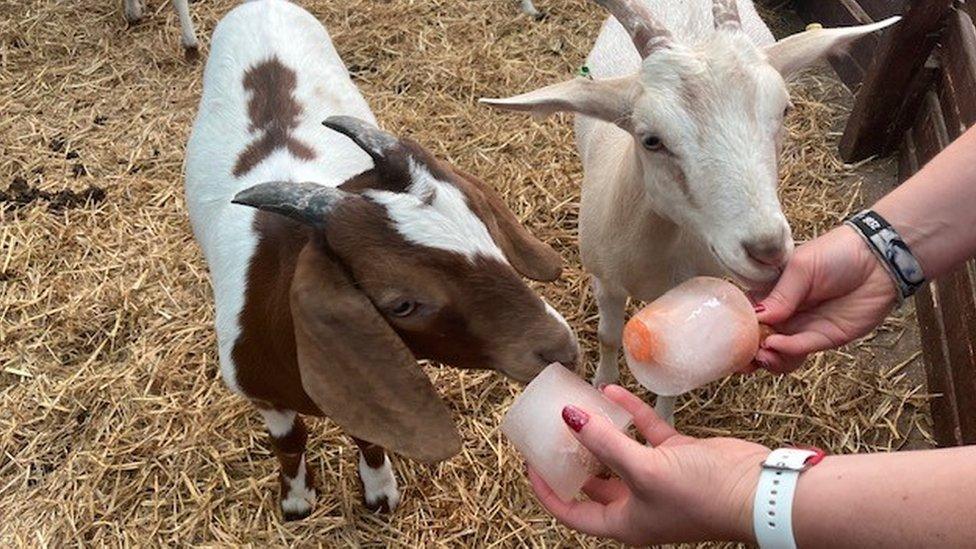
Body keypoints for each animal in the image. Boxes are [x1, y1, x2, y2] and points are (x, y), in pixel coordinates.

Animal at [184, 0, 578, 518]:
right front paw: (296, 499)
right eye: (402, 304)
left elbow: (367, 432)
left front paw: (378, 489)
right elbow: (290, 441)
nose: (561, 348)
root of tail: (260, 5)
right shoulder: (263, 395)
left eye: (488, 234)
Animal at [483, 0, 898, 420]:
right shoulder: (605, 280)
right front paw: (601, 389)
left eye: (785, 110)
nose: (767, 251)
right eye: (651, 139)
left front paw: (661, 421)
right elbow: (608, 335)